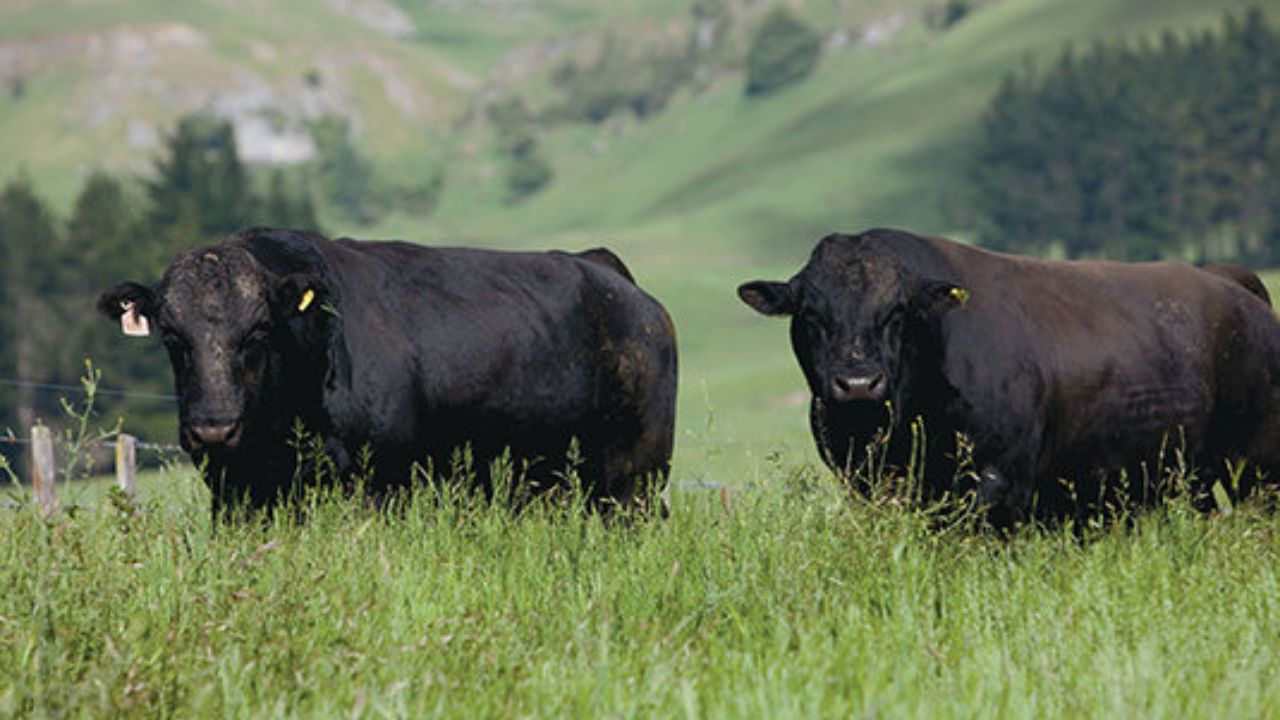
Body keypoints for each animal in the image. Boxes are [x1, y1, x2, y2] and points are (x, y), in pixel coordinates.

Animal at [98, 227, 678, 519]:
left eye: (257, 333)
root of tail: (604, 268)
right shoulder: (235, 490)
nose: (214, 428)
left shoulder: (382, 484)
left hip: (635, 476)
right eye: (173, 337)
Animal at [738, 228, 1280, 527]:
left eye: (897, 312)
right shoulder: (865, 485)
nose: (857, 384)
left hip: (1258, 470)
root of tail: (1228, 281)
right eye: (811, 314)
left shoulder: (1000, 480)